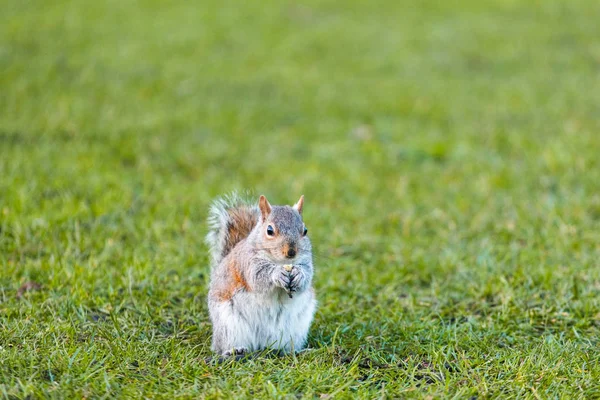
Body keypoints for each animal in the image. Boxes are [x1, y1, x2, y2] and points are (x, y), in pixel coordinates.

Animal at [205, 193, 318, 356]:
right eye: (269, 230)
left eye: (305, 230)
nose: (291, 252)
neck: (280, 262)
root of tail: (262, 344)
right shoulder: (248, 263)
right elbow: (258, 278)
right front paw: (277, 274)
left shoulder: (306, 262)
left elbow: (307, 277)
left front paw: (299, 275)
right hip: (228, 326)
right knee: (222, 346)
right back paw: (234, 350)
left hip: (296, 329)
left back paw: (296, 351)